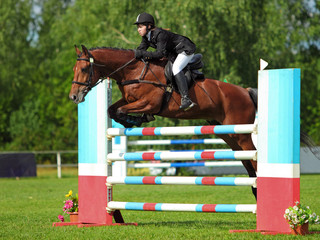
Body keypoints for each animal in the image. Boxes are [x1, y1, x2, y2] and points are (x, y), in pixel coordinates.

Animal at [69, 45, 258, 199]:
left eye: (84, 69)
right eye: (74, 69)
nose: (74, 97)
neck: (133, 70)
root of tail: (245, 91)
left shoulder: (149, 103)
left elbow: (122, 110)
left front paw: (135, 120)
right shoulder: (129, 99)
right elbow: (112, 110)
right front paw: (133, 121)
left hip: (242, 135)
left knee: (254, 156)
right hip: (229, 135)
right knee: (247, 162)